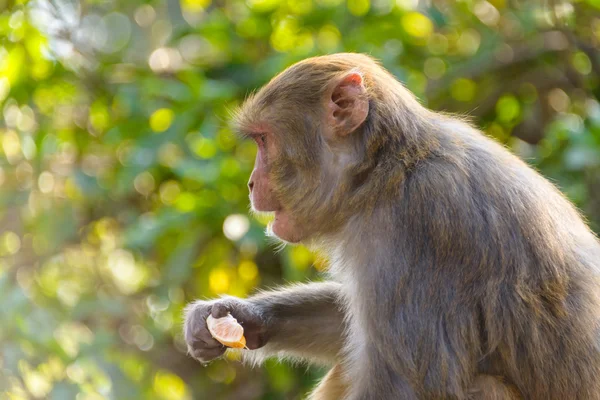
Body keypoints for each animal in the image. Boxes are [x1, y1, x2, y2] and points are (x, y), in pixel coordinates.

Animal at [183, 54, 600, 400]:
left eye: (263, 140)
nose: (251, 183)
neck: (388, 173)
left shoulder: (422, 223)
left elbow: (406, 387)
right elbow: (348, 325)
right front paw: (237, 316)